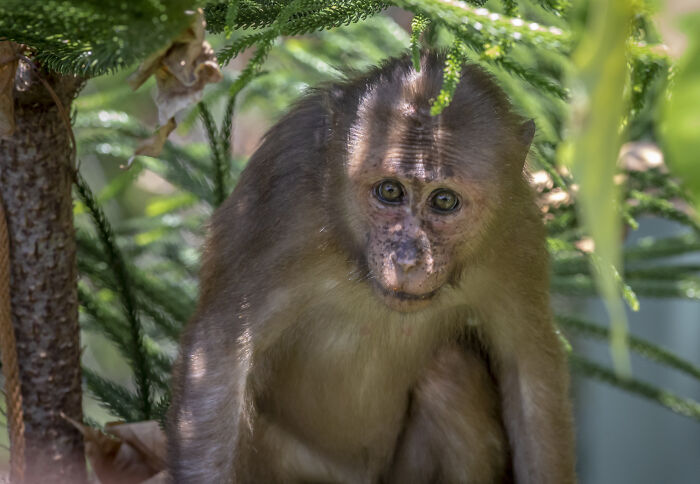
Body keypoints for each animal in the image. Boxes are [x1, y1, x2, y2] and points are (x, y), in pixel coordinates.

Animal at [167, 52, 576, 484]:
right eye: (390, 191)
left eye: (444, 200)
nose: (409, 259)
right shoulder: (281, 200)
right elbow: (220, 353)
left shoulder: (517, 232)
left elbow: (529, 366)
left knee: (451, 370)